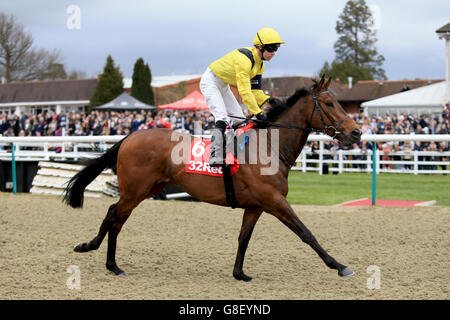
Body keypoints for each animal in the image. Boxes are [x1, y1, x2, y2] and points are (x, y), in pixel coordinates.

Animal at [62, 76, 362, 282]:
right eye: (329, 103)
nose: (356, 132)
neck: (269, 146)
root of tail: (130, 137)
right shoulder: (275, 201)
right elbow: (306, 233)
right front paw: (340, 266)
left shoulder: (256, 206)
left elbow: (244, 238)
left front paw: (239, 272)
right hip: (135, 191)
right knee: (116, 216)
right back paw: (110, 263)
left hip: (147, 188)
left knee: (114, 214)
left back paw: (93, 250)